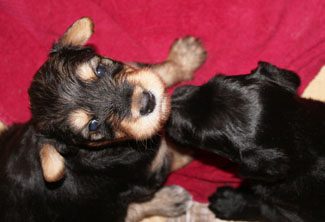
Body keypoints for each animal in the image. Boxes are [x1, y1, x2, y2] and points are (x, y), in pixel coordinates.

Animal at [0, 17, 205, 222]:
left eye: (99, 70)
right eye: (93, 125)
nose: (147, 102)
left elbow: (153, 69)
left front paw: (185, 58)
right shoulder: (149, 170)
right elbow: (169, 152)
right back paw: (172, 200)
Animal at [166, 61, 324, 222]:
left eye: (195, 132)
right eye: (208, 84)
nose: (169, 99)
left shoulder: (293, 213)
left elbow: (264, 207)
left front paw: (228, 202)